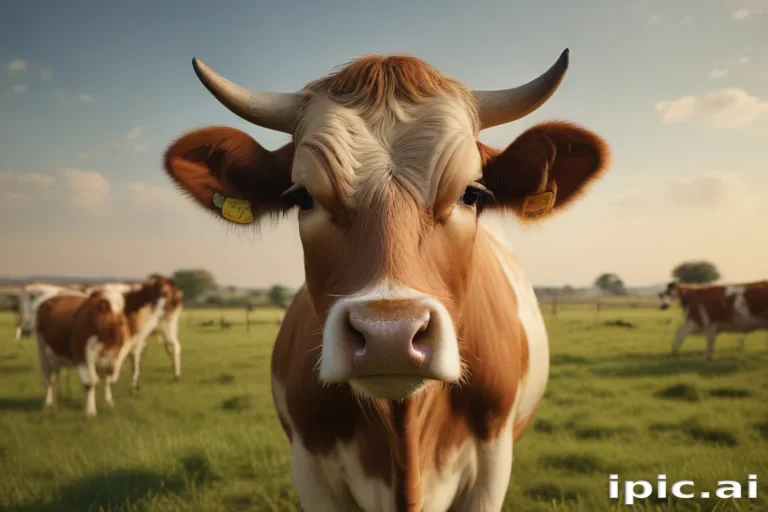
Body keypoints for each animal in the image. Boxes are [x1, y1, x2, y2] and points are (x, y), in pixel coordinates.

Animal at [35, 287, 130, 416]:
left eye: (122, 308)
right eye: (106, 308)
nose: (122, 324)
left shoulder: (114, 359)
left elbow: (108, 380)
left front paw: (108, 403)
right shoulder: (83, 355)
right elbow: (91, 382)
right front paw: (90, 411)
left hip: (57, 356)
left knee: (56, 374)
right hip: (42, 351)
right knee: (48, 378)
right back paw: (48, 403)